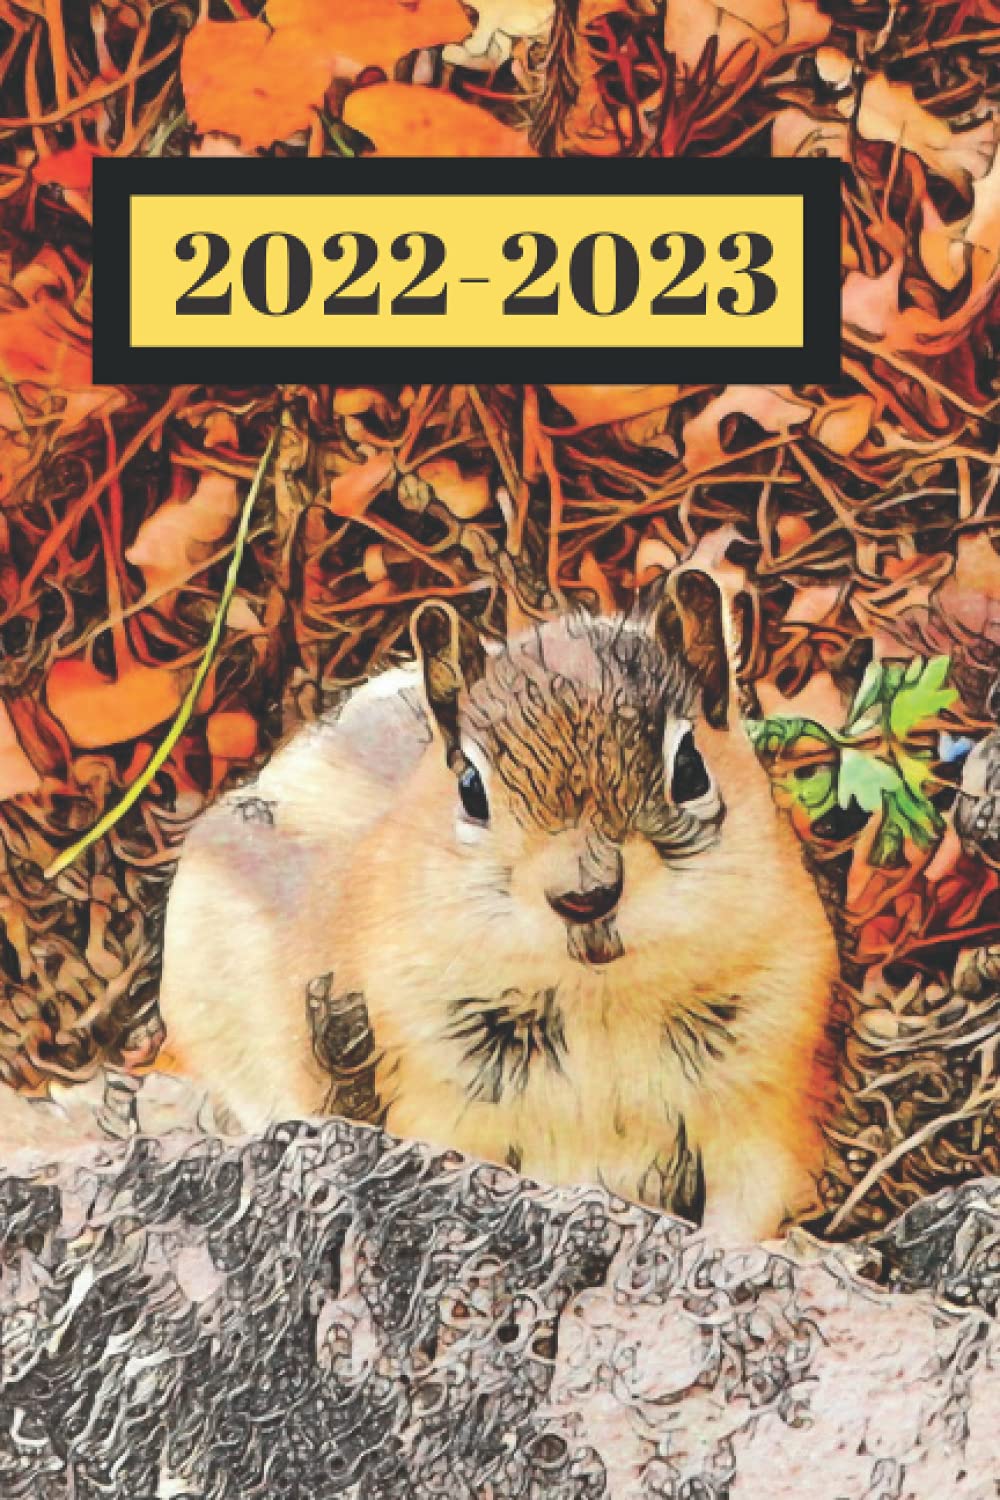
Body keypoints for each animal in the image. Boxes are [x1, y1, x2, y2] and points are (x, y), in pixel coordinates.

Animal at [159, 569, 839, 1242]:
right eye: (470, 789)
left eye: (691, 768)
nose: (586, 895)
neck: (600, 1000)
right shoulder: (438, 1107)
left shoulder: (763, 1101)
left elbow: (746, 1212)